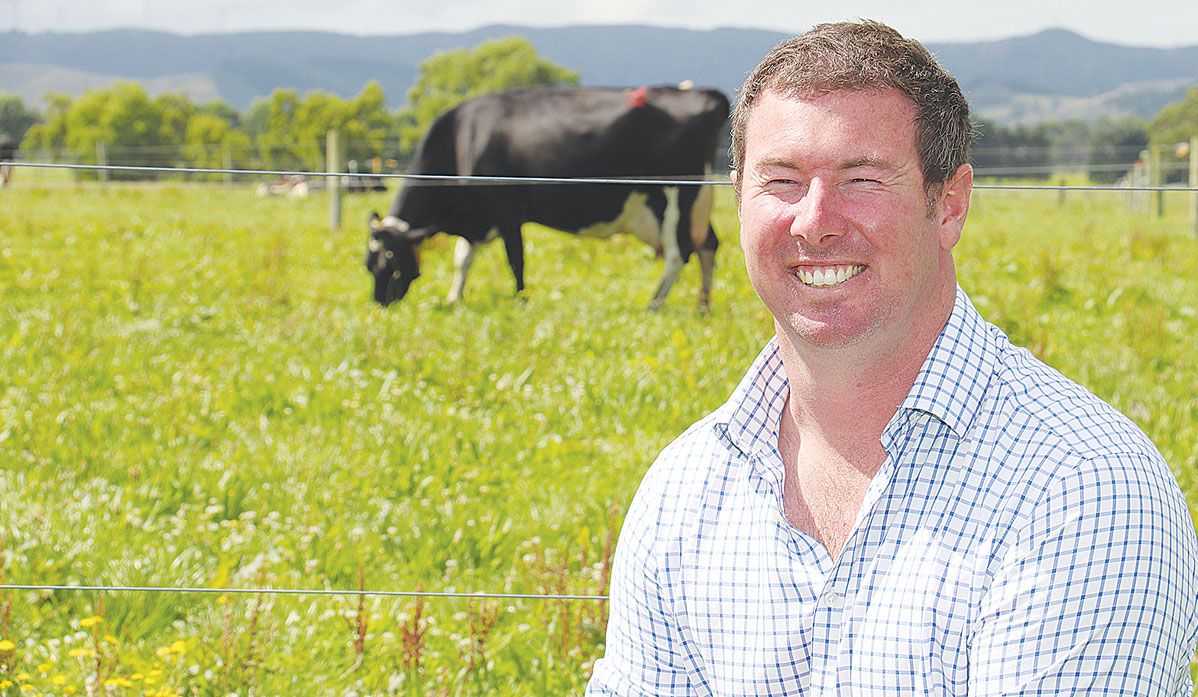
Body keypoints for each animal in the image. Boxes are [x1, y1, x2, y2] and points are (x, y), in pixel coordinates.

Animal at [361, 83, 728, 308]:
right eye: (368, 263)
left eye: (390, 263)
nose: (380, 302)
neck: (464, 137)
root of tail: (704, 94)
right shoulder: (479, 220)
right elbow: (462, 258)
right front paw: (455, 297)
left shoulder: (506, 210)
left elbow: (516, 259)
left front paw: (521, 299)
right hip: (695, 203)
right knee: (708, 245)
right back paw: (703, 306)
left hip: (676, 196)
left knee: (679, 253)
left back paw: (654, 304)